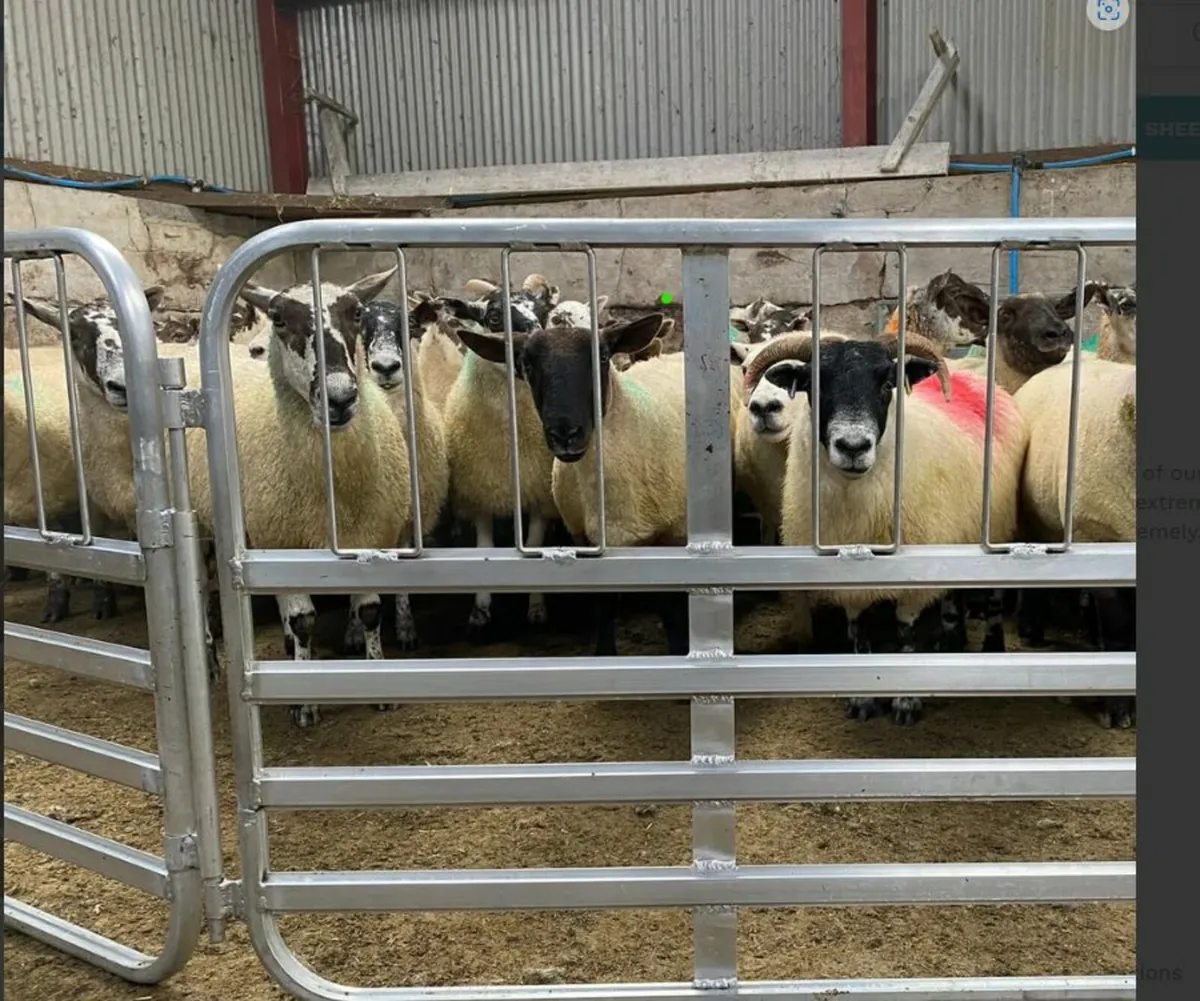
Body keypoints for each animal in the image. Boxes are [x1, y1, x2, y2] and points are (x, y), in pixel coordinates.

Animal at [195, 267, 410, 727]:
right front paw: (305, 702)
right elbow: (304, 621)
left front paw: (380, 684)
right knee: (204, 591)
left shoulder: (369, 536)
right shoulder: (279, 539)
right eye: (278, 318)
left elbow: (370, 612)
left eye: (357, 312)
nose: (340, 397)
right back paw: (211, 664)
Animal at [355, 296, 451, 650]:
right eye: (361, 324)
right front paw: (353, 632)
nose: (386, 367)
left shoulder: (411, 514)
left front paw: (406, 626)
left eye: (407, 325)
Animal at [434, 273, 563, 640]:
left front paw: (536, 608)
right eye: (493, 318)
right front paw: (480, 610)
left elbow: (533, 545)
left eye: (543, 314)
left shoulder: (538, 492)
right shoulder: (481, 490)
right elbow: (485, 551)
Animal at [453, 313, 744, 657]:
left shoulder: (671, 538)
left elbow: (670, 609)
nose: (565, 434)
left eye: (603, 357)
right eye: (526, 363)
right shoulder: (586, 538)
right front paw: (605, 652)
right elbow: (603, 602)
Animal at [752, 330, 1029, 725]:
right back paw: (953, 638)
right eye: (814, 384)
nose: (853, 446)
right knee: (953, 596)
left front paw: (906, 702)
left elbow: (906, 633)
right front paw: (863, 700)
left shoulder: (915, 577)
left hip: (996, 529)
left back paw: (990, 645)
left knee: (991, 597)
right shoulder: (850, 582)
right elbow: (858, 635)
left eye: (886, 384)